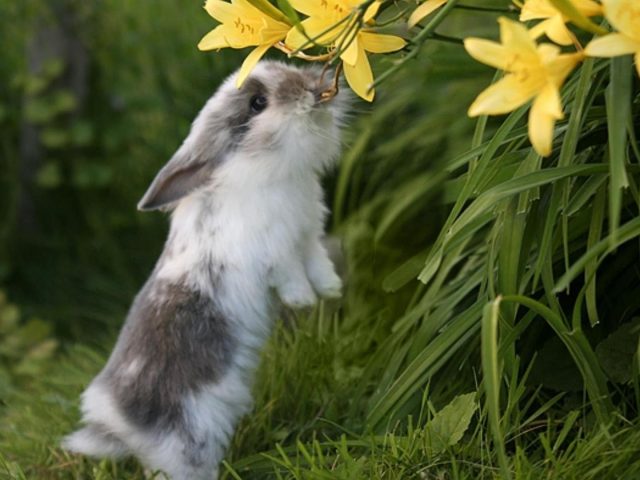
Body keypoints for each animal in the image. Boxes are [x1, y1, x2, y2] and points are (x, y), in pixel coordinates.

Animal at [62, 61, 348, 480]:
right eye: (257, 103)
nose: (312, 87)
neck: (260, 169)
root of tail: (120, 425)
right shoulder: (276, 253)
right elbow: (291, 275)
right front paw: (303, 301)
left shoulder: (307, 236)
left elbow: (317, 263)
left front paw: (331, 290)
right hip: (190, 443)